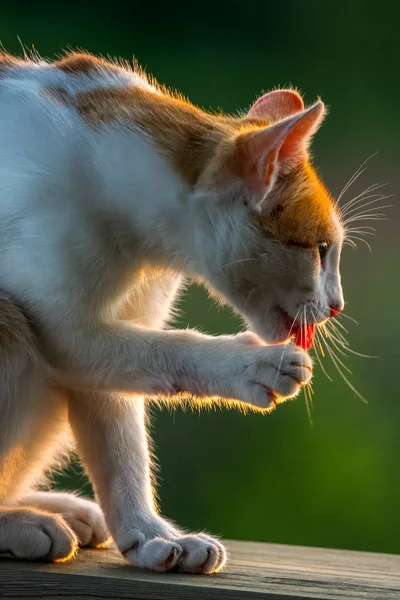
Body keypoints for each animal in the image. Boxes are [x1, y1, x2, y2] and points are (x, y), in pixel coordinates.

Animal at [0, 50, 344, 572]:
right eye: (321, 250)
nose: (338, 305)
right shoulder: (66, 327)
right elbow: (164, 350)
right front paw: (251, 365)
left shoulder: (118, 325)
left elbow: (119, 439)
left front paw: (149, 536)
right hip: (9, 324)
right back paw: (22, 523)